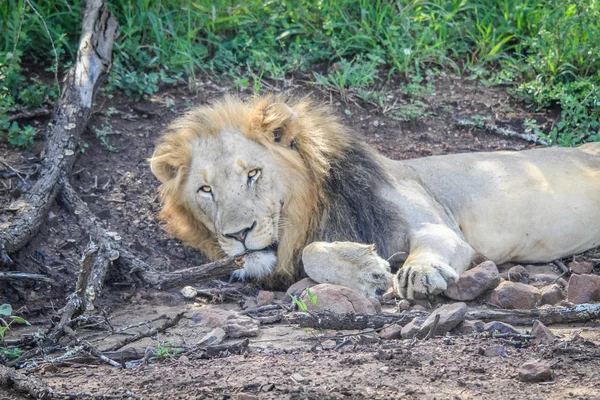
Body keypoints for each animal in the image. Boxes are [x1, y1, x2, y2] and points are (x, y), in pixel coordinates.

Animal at [151, 95, 600, 298]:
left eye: (253, 174)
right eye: (205, 190)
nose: (238, 234)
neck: (313, 209)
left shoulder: (438, 223)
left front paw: (417, 272)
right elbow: (311, 254)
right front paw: (367, 270)